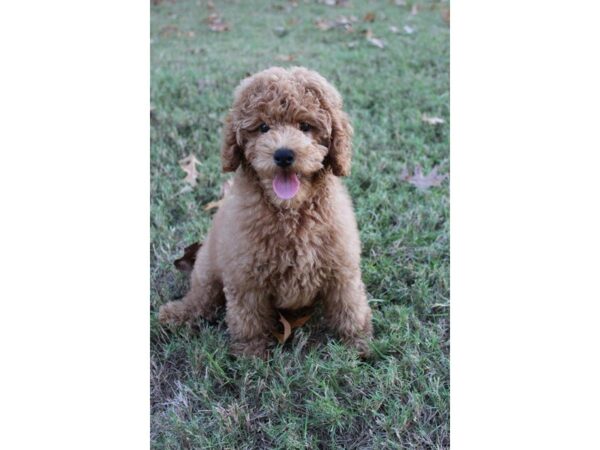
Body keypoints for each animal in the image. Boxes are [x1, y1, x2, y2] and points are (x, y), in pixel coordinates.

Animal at [162, 67, 372, 356]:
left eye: (305, 126)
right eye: (263, 127)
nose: (283, 155)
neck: (290, 212)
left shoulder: (341, 266)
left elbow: (349, 305)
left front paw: (358, 344)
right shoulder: (245, 275)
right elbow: (248, 317)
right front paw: (251, 355)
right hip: (208, 267)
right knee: (202, 296)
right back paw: (177, 313)